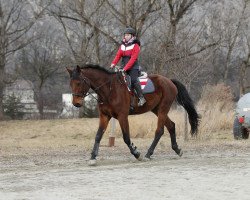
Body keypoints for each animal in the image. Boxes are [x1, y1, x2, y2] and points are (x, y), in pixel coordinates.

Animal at [66, 64, 199, 166]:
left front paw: (137, 153)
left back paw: (148, 154)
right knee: (171, 125)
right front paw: (93, 157)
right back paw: (177, 150)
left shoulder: (122, 116)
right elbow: (98, 136)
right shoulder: (104, 116)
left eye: (79, 83)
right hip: (156, 109)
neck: (109, 89)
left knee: (159, 131)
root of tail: (169, 81)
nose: (76, 103)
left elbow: (126, 137)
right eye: (70, 83)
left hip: (163, 109)